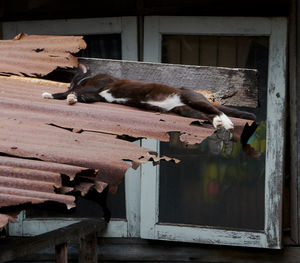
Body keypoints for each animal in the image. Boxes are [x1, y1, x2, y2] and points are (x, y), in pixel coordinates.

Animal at [42, 63, 255, 131]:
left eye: (73, 80)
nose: (71, 85)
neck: (89, 79)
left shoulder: (95, 87)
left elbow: (72, 93)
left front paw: (52, 94)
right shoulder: (96, 96)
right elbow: (80, 96)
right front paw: (70, 97)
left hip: (193, 99)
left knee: (216, 110)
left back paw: (226, 123)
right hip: (185, 110)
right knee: (205, 114)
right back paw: (217, 123)